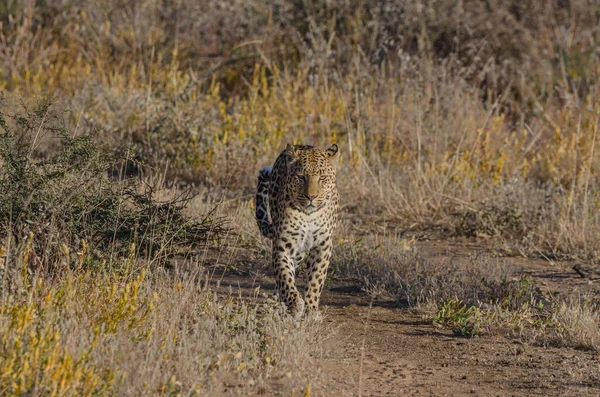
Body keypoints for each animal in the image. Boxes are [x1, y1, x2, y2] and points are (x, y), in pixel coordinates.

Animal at [255, 143, 340, 318]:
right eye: (301, 177)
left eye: (322, 178)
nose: (311, 197)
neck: (309, 215)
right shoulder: (284, 243)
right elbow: (284, 276)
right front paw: (294, 304)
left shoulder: (323, 244)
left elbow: (316, 278)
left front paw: (311, 309)